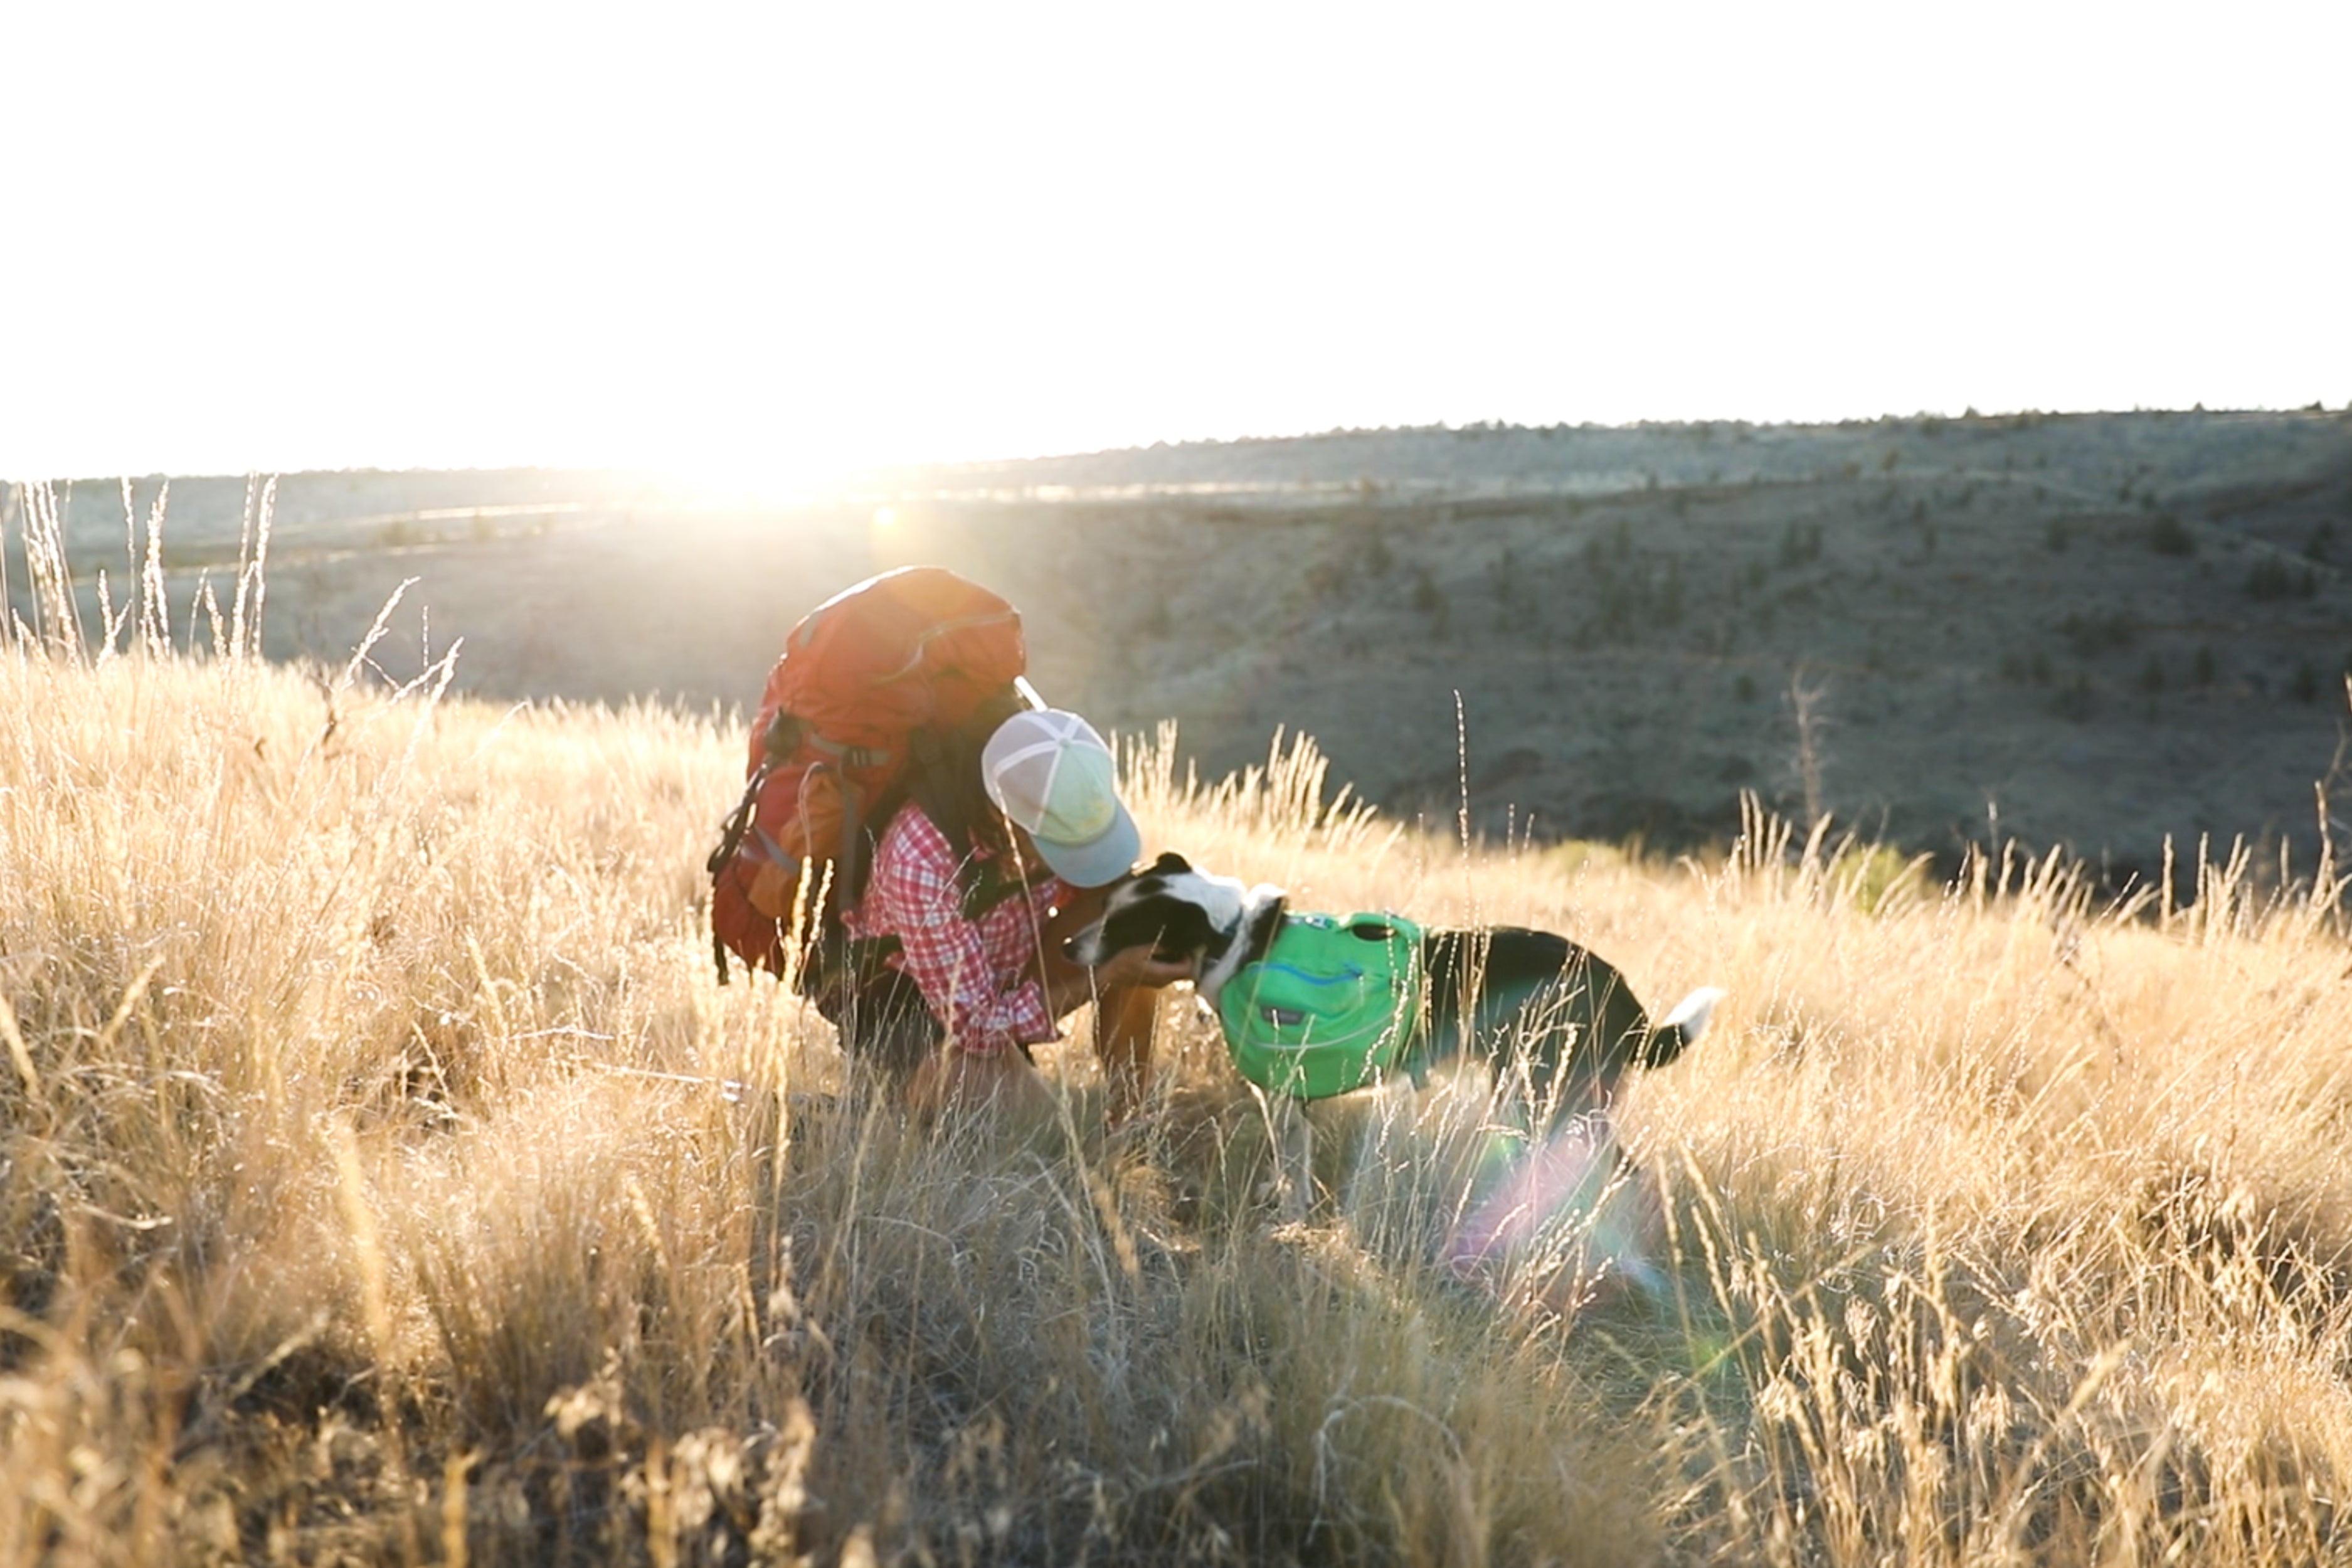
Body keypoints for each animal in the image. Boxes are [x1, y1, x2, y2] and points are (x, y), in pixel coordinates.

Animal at [1063, 860, 1712, 1128]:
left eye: (1122, 929)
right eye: (1106, 907)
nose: (1067, 945)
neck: (1238, 938)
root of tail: (1622, 991)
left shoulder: (1282, 1091)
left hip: (1542, 1090)